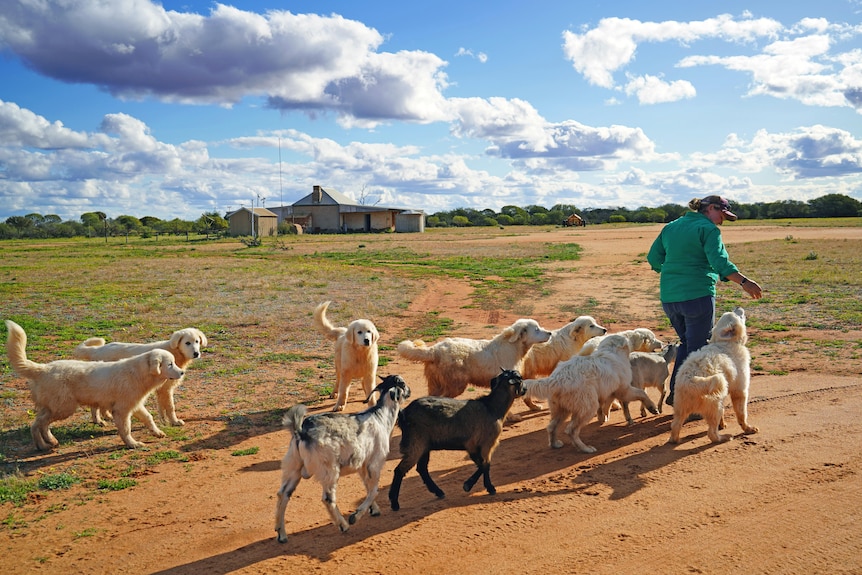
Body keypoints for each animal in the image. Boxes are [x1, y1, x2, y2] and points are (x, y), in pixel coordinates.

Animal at [7, 320, 186, 450]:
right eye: (170, 364)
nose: (182, 373)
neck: (137, 373)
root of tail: (43, 368)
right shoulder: (122, 410)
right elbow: (126, 429)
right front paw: (132, 444)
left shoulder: (134, 405)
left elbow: (148, 417)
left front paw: (157, 432)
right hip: (63, 407)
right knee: (38, 424)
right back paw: (43, 444)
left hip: (54, 407)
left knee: (39, 423)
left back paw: (49, 441)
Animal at [73, 326, 208, 426]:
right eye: (187, 343)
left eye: (197, 341)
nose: (196, 353)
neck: (175, 351)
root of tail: (97, 349)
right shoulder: (166, 388)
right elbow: (170, 406)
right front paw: (175, 422)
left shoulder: (161, 389)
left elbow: (161, 406)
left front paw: (164, 421)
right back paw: (98, 420)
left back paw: (107, 417)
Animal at [400, 318, 552, 398]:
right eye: (537, 329)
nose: (550, 332)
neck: (513, 346)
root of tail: (434, 350)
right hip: (455, 385)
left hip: (435, 385)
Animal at [524, 332, 660, 454]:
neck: (611, 351)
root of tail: (555, 379)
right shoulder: (624, 390)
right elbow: (642, 393)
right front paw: (652, 408)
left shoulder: (610, 391)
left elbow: (607, 405)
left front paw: (604, 416)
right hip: (588, 406)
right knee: (571, 430)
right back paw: (585, 448)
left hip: (561, 409)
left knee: (552, 427)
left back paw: (555, 444)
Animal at [672, 306, 760, 446]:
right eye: (737, 315)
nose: (737, 307)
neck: (724, 342)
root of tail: (690, 381)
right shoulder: (740, 391)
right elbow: (742, 414)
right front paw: (748, 429)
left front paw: (722, 425)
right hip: (715, 403)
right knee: (711, 434)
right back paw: (724, 438)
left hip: (681, 408)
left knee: (675, 427)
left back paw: (676, 440)